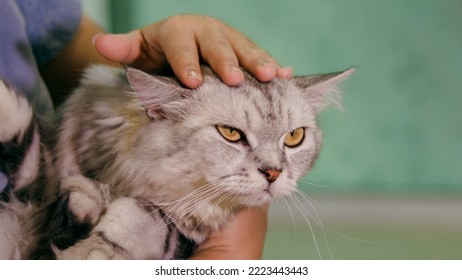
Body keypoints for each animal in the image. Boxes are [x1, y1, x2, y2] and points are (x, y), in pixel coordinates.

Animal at [0, 64, 354, 260]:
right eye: (231, 133)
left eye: (294, 137)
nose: (273, 173)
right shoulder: (46, 169)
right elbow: (23, 131)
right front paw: (85, 201)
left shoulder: (185, 234)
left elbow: (139, 215)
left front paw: (90, 251)